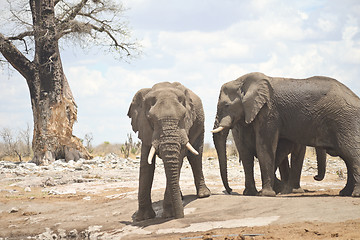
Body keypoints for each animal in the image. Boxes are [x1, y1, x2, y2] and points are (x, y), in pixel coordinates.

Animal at [128, 81, 211, 220]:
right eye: (151, 118)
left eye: (184, 116)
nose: (181, 217)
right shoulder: (144, 127)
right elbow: (146, 165)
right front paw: (143, 218)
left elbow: (179, 159)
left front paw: (168, 215)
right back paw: (181, 197)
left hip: (200, 125)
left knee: (195, 157)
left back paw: (204, 195)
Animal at [212, 71, 360, 197]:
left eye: (226, 105)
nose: (230, 190)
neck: (242, 82)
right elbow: (246, 151)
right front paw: (251, 194)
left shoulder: (269, 111)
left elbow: (264, 147)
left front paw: (266, 194)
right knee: (347, 157)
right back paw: (345, 193)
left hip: (345, 120)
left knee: (350, 153)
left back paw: (354, 194)